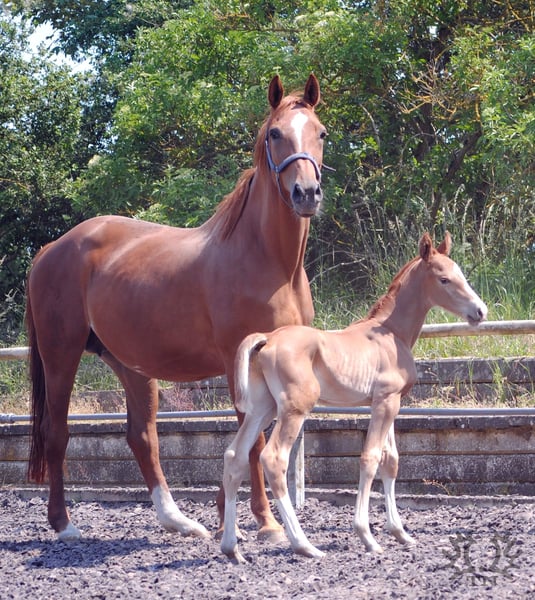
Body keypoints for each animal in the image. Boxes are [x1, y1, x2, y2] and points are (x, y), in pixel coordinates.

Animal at [25, 74, 327, 541]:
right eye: (275, 134)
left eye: (321, 133)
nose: (307, 193)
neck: (268, 260)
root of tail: (51, 249)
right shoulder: (239, 358)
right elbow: (254, 438)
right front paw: (265, 522)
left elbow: (256, 433)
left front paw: (226, 512)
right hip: (61, 354)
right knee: (56, 432)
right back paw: (64, 524)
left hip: (130, 363)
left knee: (142, 436)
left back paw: (178, 520)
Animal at [221, 232, 488, 562]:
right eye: (444, 279)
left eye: (459, 274)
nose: (480, 311)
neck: (391, 333)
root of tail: (267, 339)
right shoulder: (385, 402)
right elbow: (370, 458)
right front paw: (367, 537)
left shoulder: (389, 403)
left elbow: (391, 462)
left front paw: (400, 533)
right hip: (294, 409)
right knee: (273, 459)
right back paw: (305, 545)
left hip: (262, 408)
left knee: (234, 457)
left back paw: (232, 549)